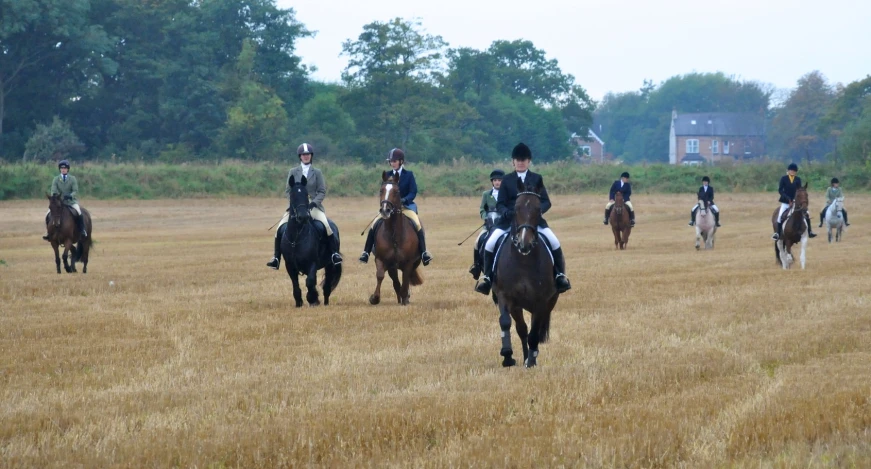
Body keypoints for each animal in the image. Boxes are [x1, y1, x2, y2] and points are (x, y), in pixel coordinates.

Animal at [282, 174, 344, 306]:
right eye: (292, 195)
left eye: (306, 194)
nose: (303, 216)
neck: (296, 237)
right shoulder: (289, 265)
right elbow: (296, 285)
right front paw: (299, 302)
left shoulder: (312, 263)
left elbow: (310, 282)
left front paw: (313, 299)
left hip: (330, 264)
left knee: (327, 286)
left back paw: (325, 302)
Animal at [368, 170, 422, 306]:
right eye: (381, 190)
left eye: (397, 192)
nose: (385, 210)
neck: (394, 234)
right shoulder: (382, 260)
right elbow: (380, 275)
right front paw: (375, 298)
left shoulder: (408, 263)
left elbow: (405, 281)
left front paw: (405, 299)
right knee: (396, 282)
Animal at [490, 175, 560, 366]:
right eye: (516, 208)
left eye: (538, 209)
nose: (524, 243)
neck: (523, 260)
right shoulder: (505, 296)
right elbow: (506, 322)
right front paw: (507, 355)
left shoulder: (541, 301)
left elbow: (534, 333)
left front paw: (531, 362)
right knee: (521, 329)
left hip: (549, 303)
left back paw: (531, 356)